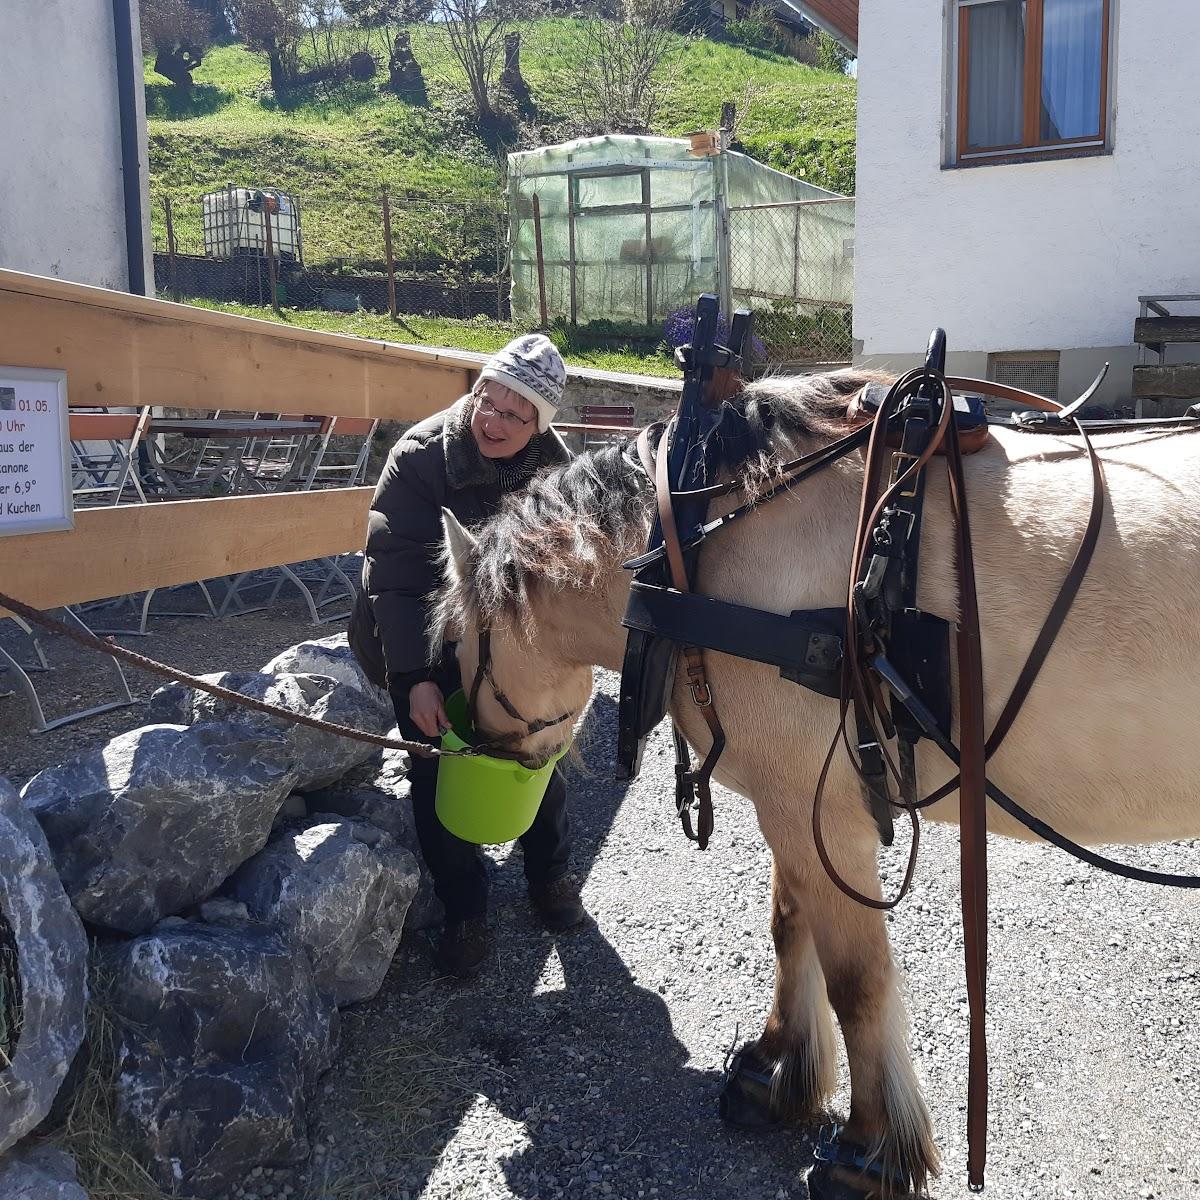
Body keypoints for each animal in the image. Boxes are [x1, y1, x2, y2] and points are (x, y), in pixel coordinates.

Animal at [429, 369, 1200, 1195]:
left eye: (454, 644)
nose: (478, 747)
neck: (695, 548)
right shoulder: (790, 805)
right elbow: (788, 927)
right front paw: (777, 1072)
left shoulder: (823, 815)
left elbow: (856, 984)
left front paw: (869, 1148)